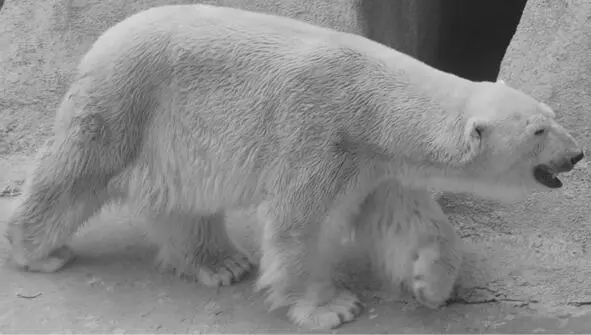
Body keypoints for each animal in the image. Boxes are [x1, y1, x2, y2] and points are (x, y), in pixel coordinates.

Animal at [5, 3, 588, 332]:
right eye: (539, 132)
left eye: (552, 117)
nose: (577, 153)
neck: (375, 106)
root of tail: (103, 39)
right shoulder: (320, 134)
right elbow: (298, 223)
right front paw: (330, 308)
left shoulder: (376, 165)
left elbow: (408, 219)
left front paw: (430, 283)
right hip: (130, 100)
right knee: (77, 169)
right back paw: (38, 250)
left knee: (185, 200)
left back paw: (220, 262)